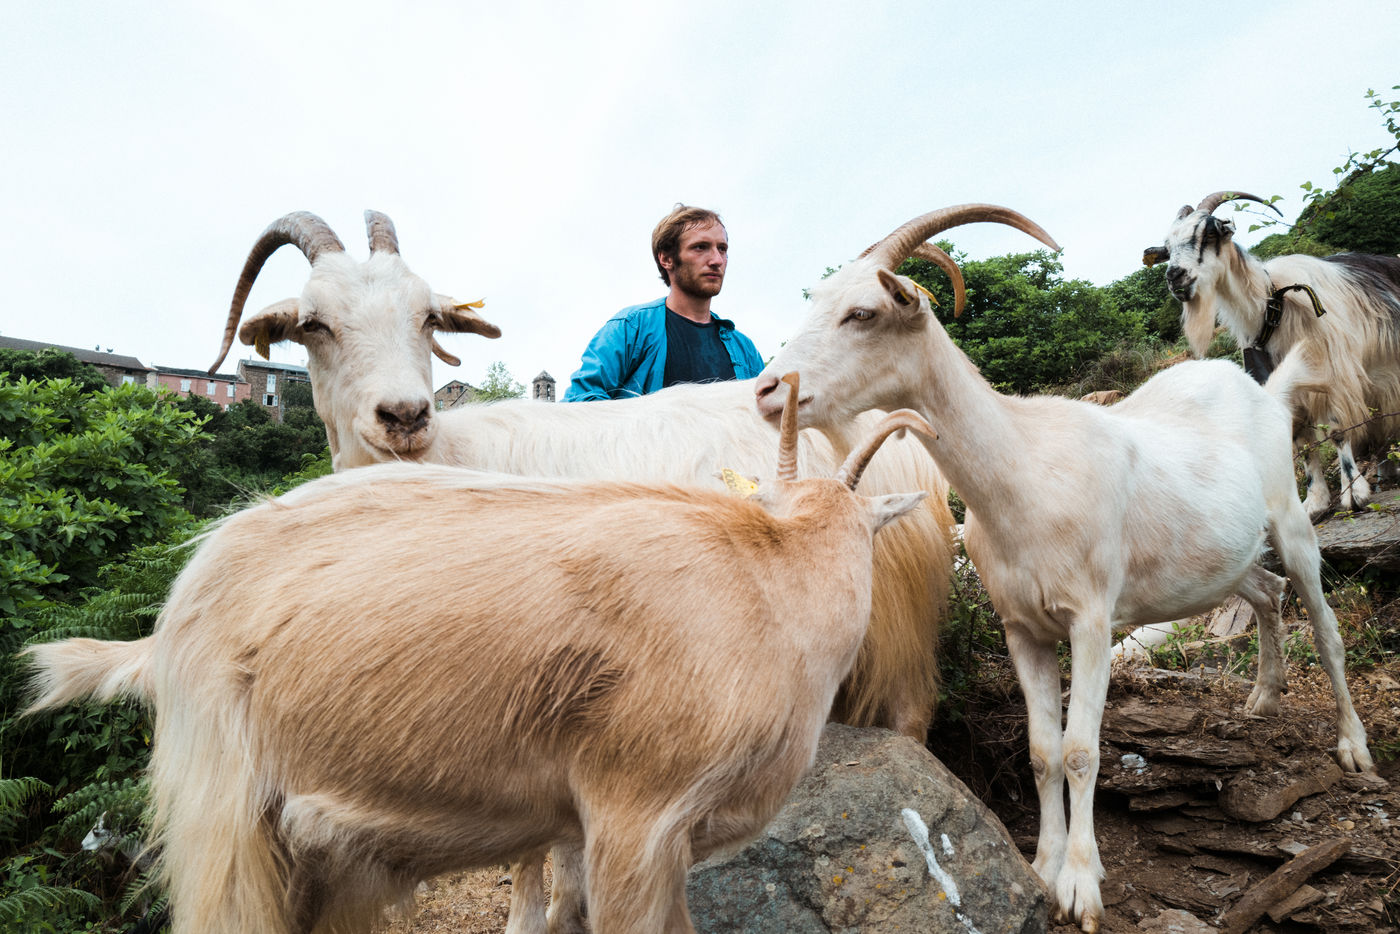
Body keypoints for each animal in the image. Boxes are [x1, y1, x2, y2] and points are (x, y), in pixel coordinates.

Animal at [753, 204, 1375, 933]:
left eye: (863, 312)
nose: (768, 392)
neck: (1025, 472)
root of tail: (1264, 393)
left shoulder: (1092, 619)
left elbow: (1081, 749)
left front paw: (1081, 883)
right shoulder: (1022, 628)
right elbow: (1043, 751)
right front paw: (1044, 866)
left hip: (1290, 517)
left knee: (1324, 624)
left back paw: (1353, 746)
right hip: (1225, 555)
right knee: (1268, 590)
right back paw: (1262, 697)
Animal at [1143, 190, 1400, 518]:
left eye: (1209, 232)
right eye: (1167, 247)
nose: (1175, 276)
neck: (1272, 308)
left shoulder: (1334, 373)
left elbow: (1338, 430)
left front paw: (1353, 493)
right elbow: (1299, 440)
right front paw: (1314, 502)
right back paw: (1387, 471)